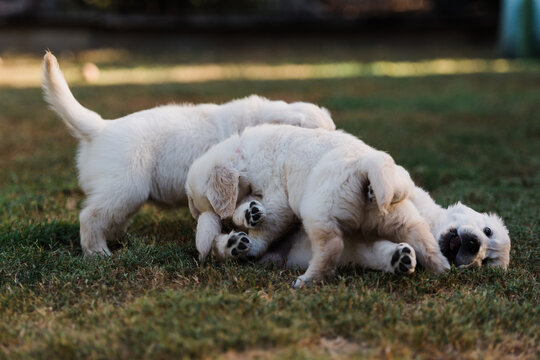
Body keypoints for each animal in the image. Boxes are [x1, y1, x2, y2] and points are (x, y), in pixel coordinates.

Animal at [43, 52, 338, 258]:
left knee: (109, 217)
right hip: (125, 187)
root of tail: (100, 127)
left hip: (121, 194)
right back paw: (97, 253)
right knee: (90, 217)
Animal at [187, 124, 452, 286]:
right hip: (397, 216)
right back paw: (440, 267)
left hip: (318, 212)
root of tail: (367, 165)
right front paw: (247, 216)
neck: (245, 153)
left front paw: (253, 236)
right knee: (421, 237)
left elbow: (270, 223)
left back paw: (307, 280)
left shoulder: (277, 195)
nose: (223, 223)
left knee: (331, 247)